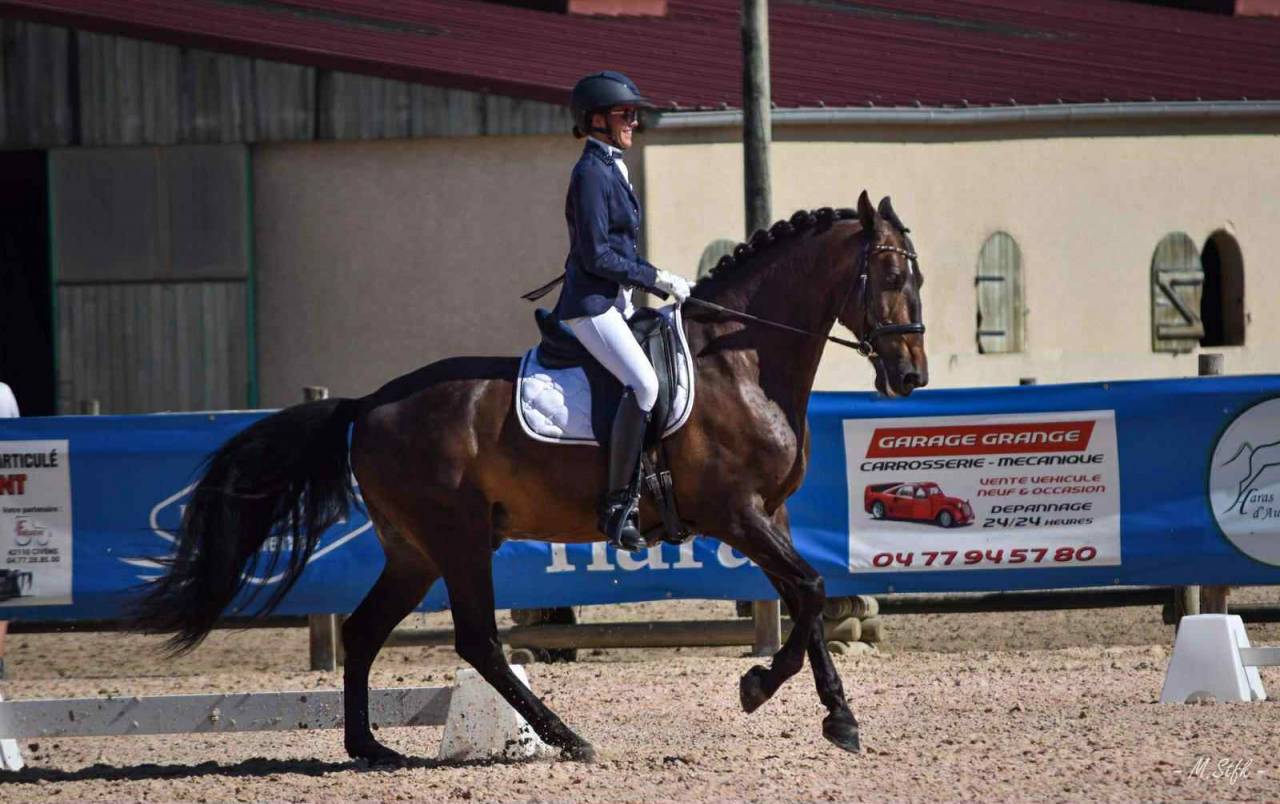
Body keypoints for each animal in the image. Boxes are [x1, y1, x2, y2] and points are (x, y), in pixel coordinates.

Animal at [133, 189, 928, 765]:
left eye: (917, 277)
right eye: (891, 276)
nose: (911, 378)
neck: (739, 362)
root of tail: (370, 404)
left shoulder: (772, 514)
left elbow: (806, 600)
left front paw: (807, 703)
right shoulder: (737, 513)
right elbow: (811, 590)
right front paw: (788, 697)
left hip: (415, 551)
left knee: (363, 632)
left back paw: (371, 748)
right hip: (456, 540)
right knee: (479, 642)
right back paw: (568, 738)